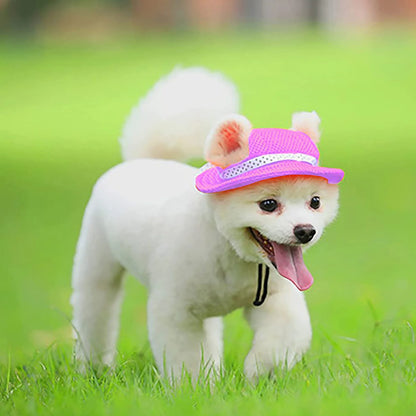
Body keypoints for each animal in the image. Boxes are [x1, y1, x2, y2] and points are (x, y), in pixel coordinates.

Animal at [72, 66, 344, 382]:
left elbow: (284, 338)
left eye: (315, 202)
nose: (305, 231)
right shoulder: (175, 310)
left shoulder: (276, 296)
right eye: (268, 205)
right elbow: (186, 359)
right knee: (96, 309)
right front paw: (197, 387)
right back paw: (93, 367)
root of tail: (144, 160)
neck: (228, 248)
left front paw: (258, 371)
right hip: (96, 261)